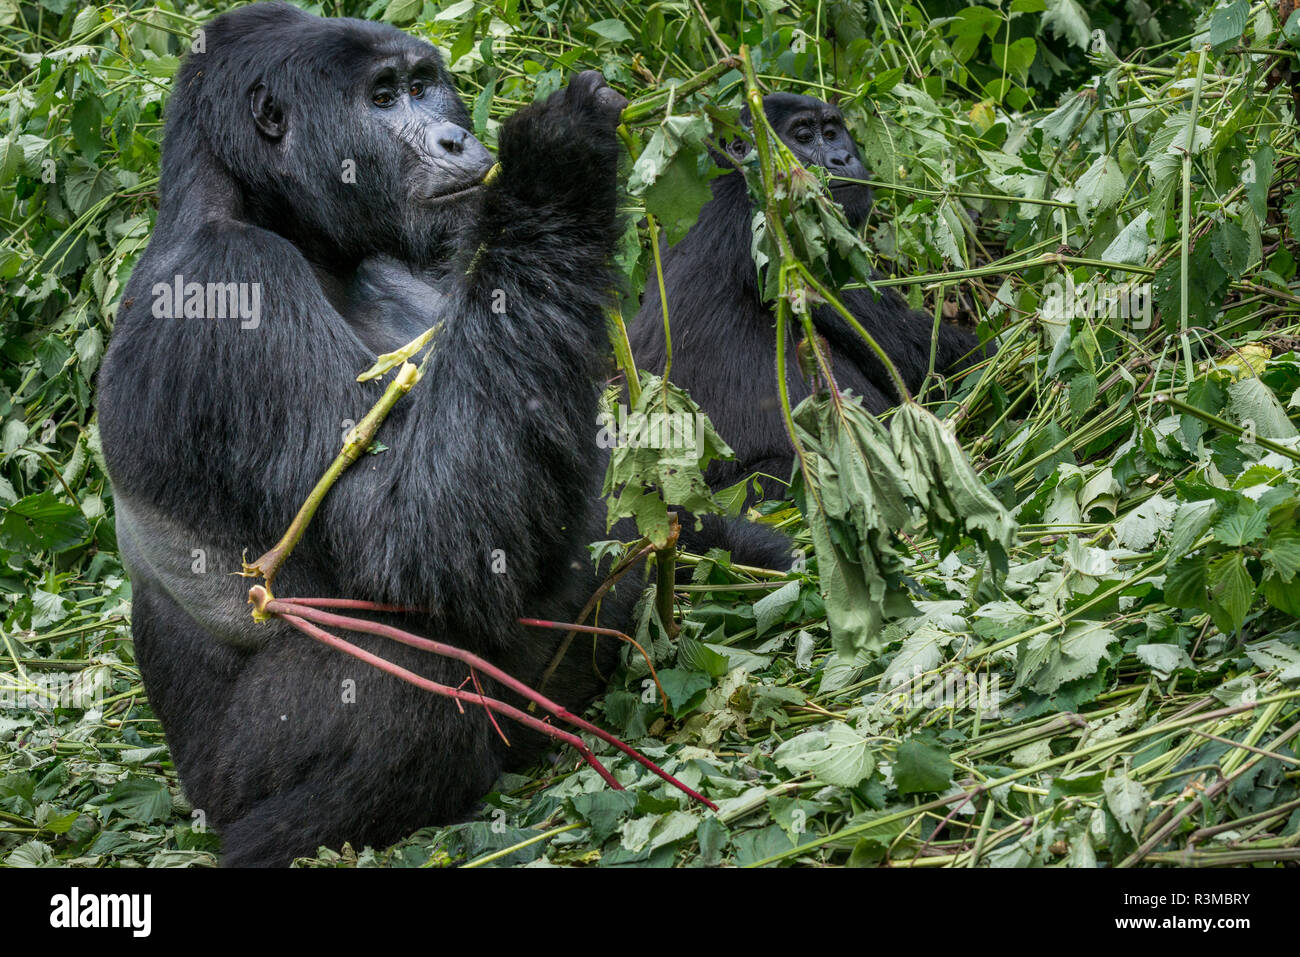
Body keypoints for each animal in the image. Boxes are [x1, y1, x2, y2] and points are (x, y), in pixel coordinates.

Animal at [97, 1, 634, 868]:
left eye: (422, 85)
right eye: (382, 99)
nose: (453, 139)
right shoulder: (231, 283)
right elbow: (411, 531)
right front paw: (559, 167)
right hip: (219, 780)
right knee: (399, 673)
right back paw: (280, 834)